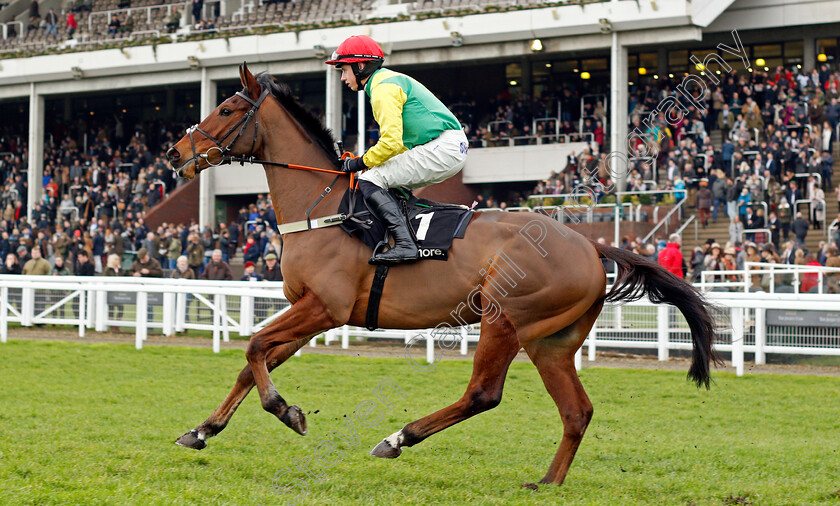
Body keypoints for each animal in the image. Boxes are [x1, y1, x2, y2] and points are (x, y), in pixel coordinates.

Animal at [166, 63, 720, 486]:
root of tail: (590, 243)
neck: (321, 207)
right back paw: (547, 481)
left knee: (484, 394)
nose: (174, 154)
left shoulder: (325, 307)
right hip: (551, 341)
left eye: (227, 109)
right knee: (576, 410)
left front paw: (287, 412)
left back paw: (397, 438)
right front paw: (203, 430)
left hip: (504, 318)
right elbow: (254, 359)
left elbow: (255, 346)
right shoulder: (311, 312)